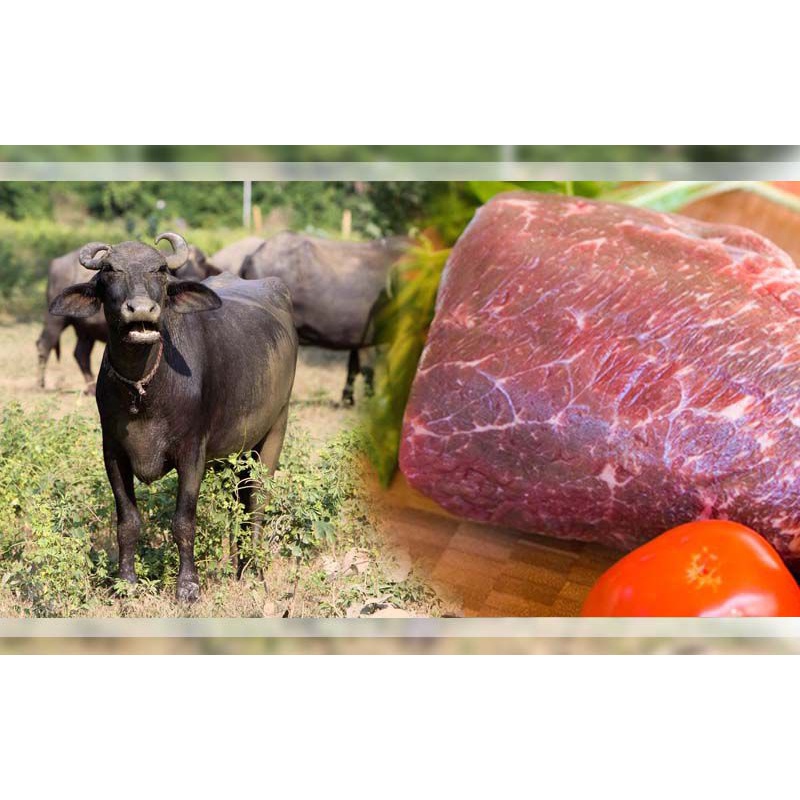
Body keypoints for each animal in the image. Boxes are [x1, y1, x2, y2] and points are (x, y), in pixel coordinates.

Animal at [37, 244, 219, 394]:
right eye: (110, 269)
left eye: (201, 262)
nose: (192, 277)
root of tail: (55, 263)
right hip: (56, 320)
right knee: (44, 344)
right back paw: (41, 384)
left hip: (85, 331)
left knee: (80, 353)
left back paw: (90, 389)